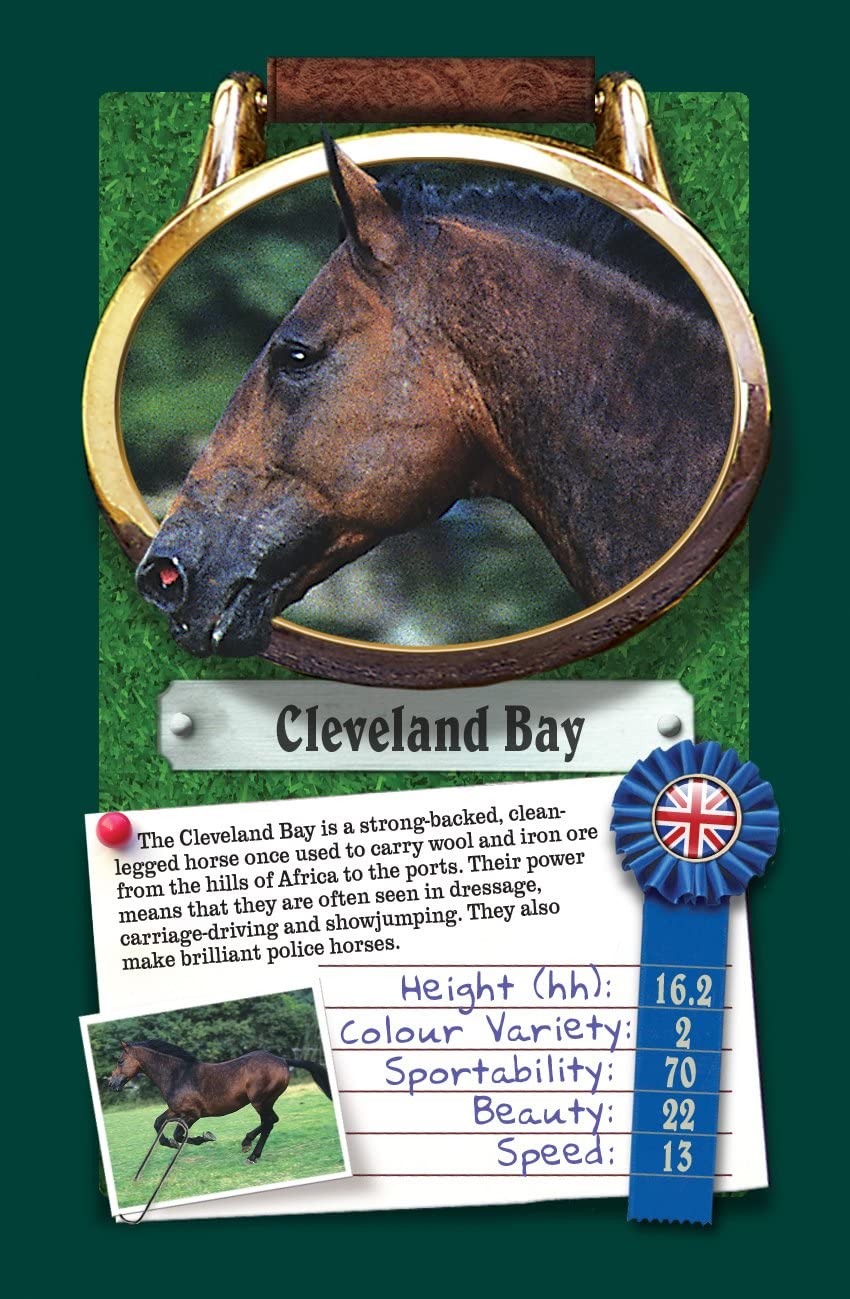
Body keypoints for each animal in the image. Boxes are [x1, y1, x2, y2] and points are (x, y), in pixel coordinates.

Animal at [107, 1038, 332, 1164]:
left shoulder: (193, 1114)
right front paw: (169, 1142)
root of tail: (283, 1060)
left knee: (269, 1122)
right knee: (272, 1120)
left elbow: (179, 1134)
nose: (111, 1084)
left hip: (260, 1101)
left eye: (120, 1061)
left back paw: (251, 1156)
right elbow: (158, 1124)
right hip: (265, 1101)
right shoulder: (175, 1110)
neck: (179, 1075)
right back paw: (247, 1143)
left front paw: (205, 1137)